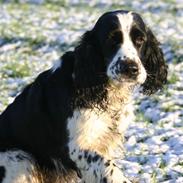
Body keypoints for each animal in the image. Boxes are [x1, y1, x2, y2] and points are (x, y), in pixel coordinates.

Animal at [0, 10, 167, 183]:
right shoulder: (77, 147)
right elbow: (109, 168)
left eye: (140, 39)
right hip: (20, 158)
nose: (130, 68)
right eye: (111, 39)